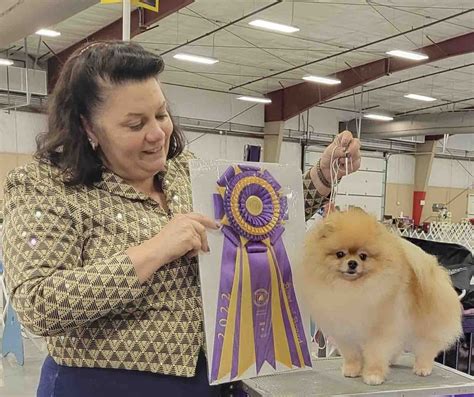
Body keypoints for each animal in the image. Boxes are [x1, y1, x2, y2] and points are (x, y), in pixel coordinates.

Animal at [302, 207, 462, 384]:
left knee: (427, 348)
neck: (353, 289)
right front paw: (352, 370)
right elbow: (352, 355)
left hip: (425, 326)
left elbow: (375, 354)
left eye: (363, 256)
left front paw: (373, 375)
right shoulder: (346, 332)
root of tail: (435, 271)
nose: (352, 263)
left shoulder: (379, 332)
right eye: (340, 254)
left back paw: (422, 368)